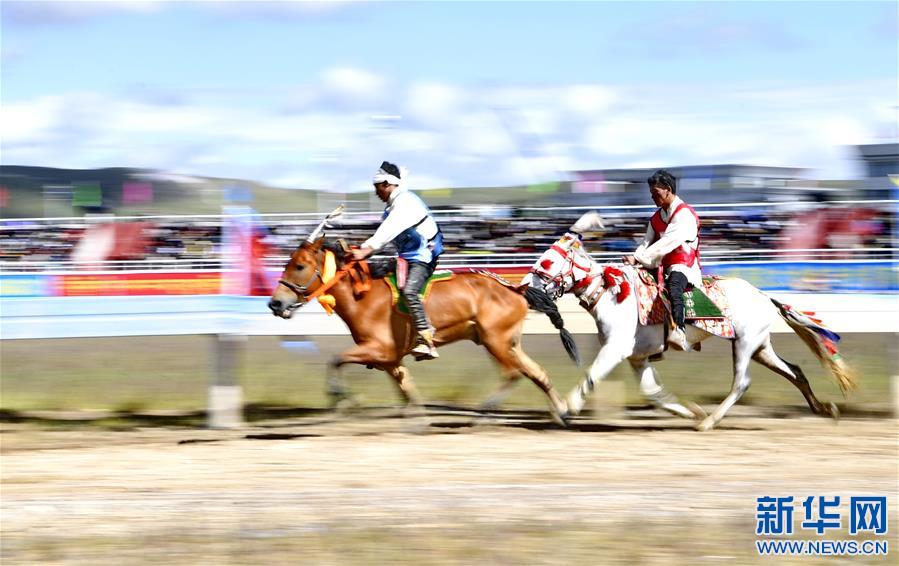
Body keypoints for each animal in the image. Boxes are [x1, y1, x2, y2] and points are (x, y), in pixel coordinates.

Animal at [268, 236, 580, 426]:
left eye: (299, 265)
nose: (275, 303)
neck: (364, 296)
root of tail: (517, 290)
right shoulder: (390, 359)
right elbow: (406, 387)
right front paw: (416, 418)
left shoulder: (379, 349)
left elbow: (335, 359)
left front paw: (342, 398)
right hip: (508, 343)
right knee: (537, 373)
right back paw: (561, 412)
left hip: (496, 342)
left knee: (512, 373)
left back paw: (485, 411)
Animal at [528, 221, 856, 430]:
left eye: (547, 263)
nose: (527, 292)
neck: (612, 293)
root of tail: (765, 296)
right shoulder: (637, 357)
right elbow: (653, 392)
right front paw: (692, 411)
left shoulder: (616, 349)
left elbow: (592, 375)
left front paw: (564, 409)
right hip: (761, 347)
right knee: (795, 372)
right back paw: (825, 409)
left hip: (745, 344)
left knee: (742, 383)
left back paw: (711, 421)